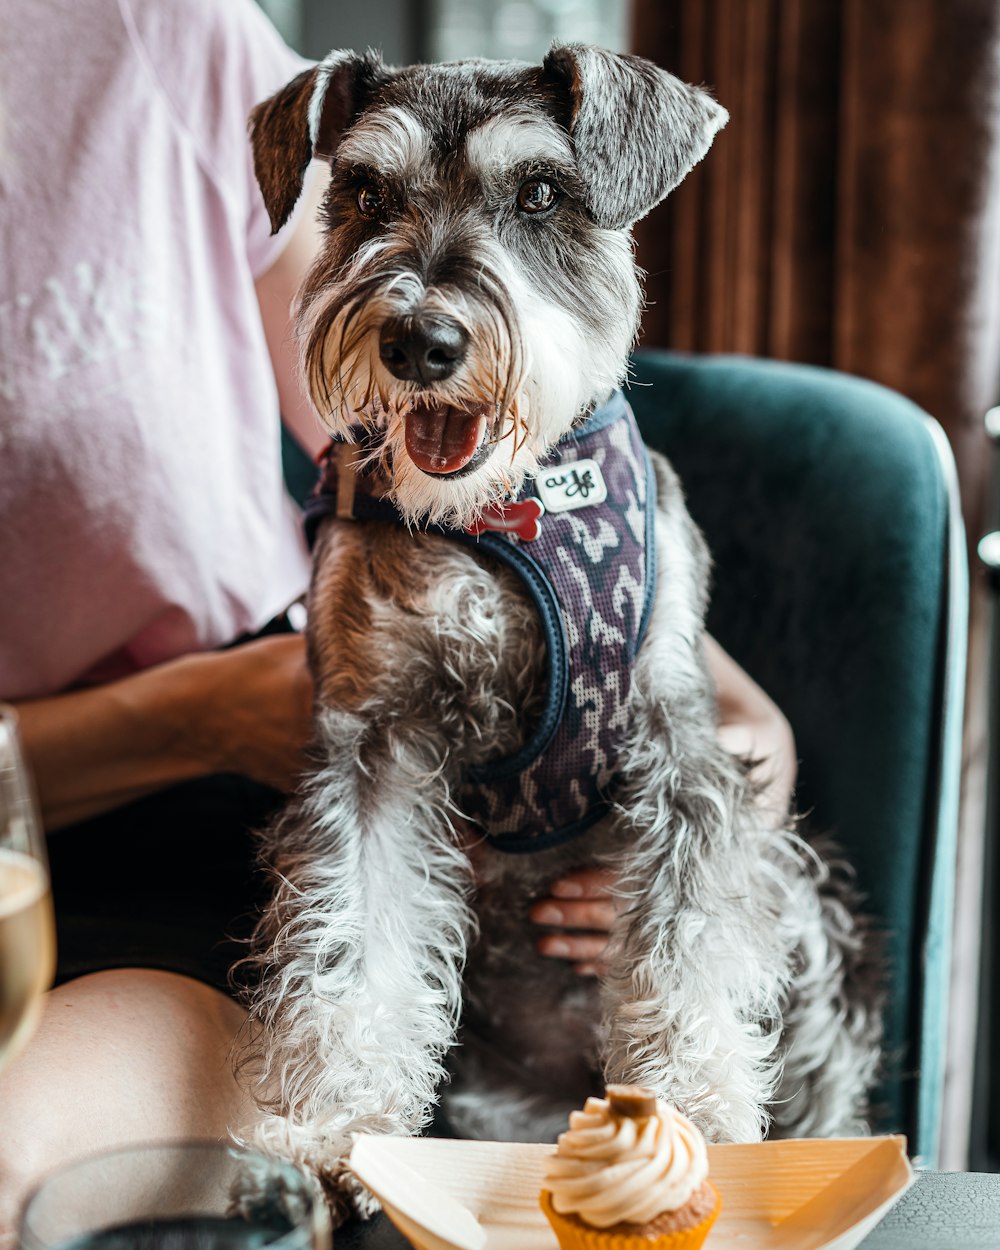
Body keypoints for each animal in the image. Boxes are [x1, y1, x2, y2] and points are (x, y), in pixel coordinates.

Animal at [240, 41, 885, 1220]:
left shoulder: (680, 748)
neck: (511, 511)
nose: (420, 337)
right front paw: (335, 1125)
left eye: (541, 193)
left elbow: (688, 946)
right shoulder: (372, 745)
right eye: (364, 194)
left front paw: (697, 1118)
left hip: (806, 899)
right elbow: (355, 933)